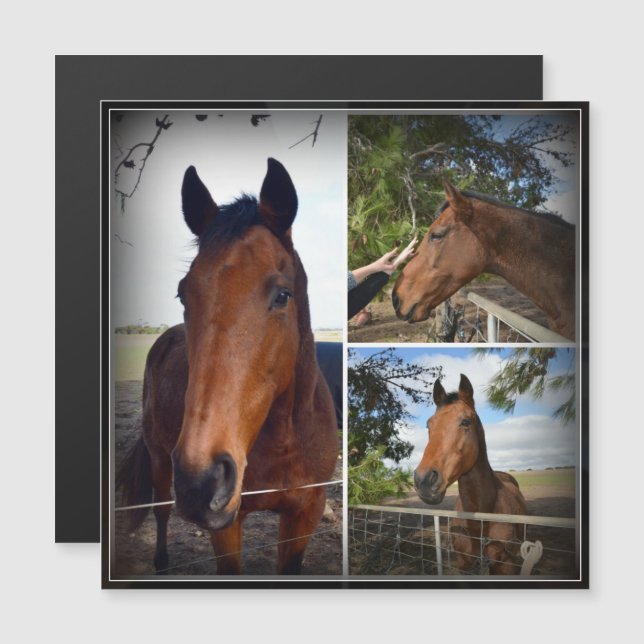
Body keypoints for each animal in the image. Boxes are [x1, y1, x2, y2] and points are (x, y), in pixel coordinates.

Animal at [117, 158, 339, 575]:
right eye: (182, 294)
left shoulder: (305, 514)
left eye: (282, 295)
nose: (201, 481)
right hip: (160, 459)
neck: (284, 438)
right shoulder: (226, 525)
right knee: (161, 511)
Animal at [414, 375, 527, 575]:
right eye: (429, 425)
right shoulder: (463, 564)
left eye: (466, 422)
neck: (481, 524)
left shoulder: (506, 566)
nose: (424, 480)